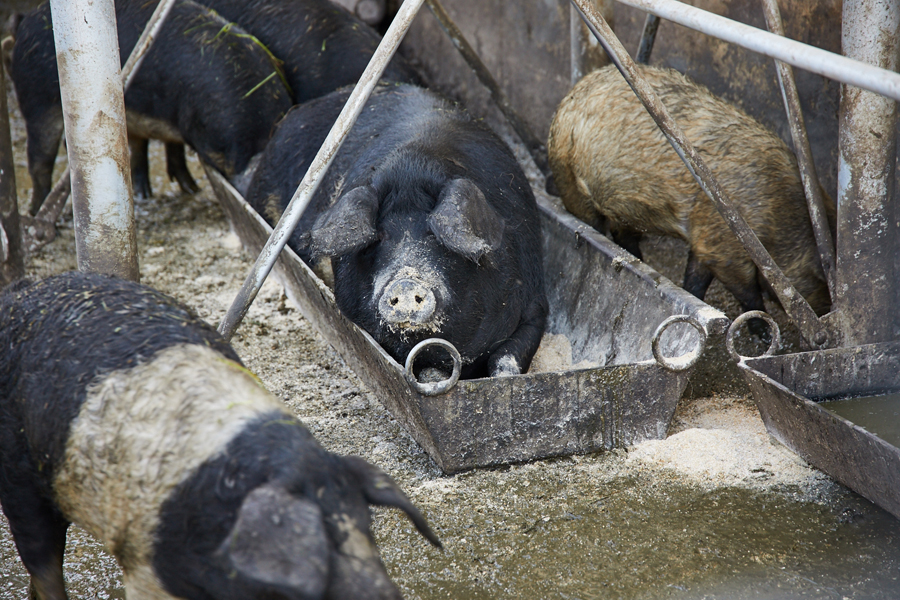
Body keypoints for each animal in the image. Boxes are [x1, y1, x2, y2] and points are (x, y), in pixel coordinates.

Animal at [0, 272, 440, 600]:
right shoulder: (146, 567)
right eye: (320, 550)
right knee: (42, 559)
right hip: (19, 479)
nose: (382, 593)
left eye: (367, 529)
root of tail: (19, 290)